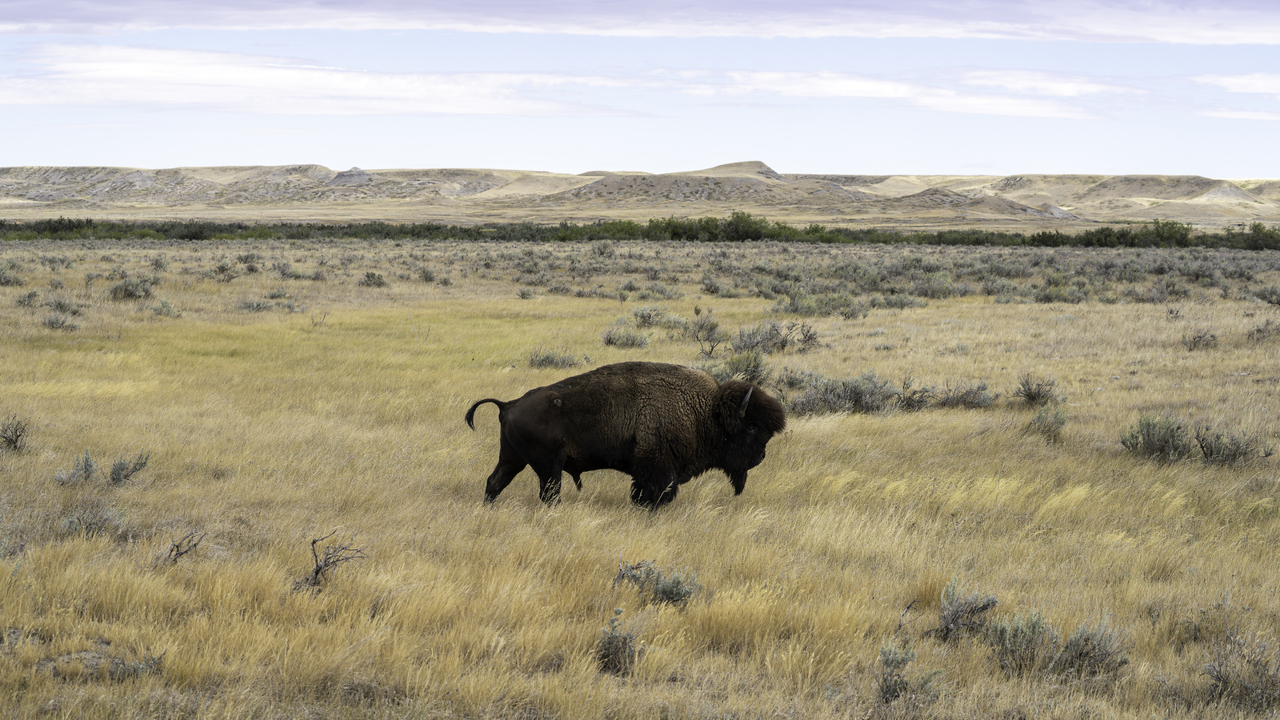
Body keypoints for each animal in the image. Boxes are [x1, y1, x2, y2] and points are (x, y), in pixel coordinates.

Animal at [465, 361, 786, 507]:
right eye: (752, 427)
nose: (761, 456)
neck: (705, 411)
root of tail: (509, 404)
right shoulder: (658, 470)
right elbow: (656, 494)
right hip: (548, 467)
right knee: (548, 493)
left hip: (512, 458)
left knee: (495, 482)